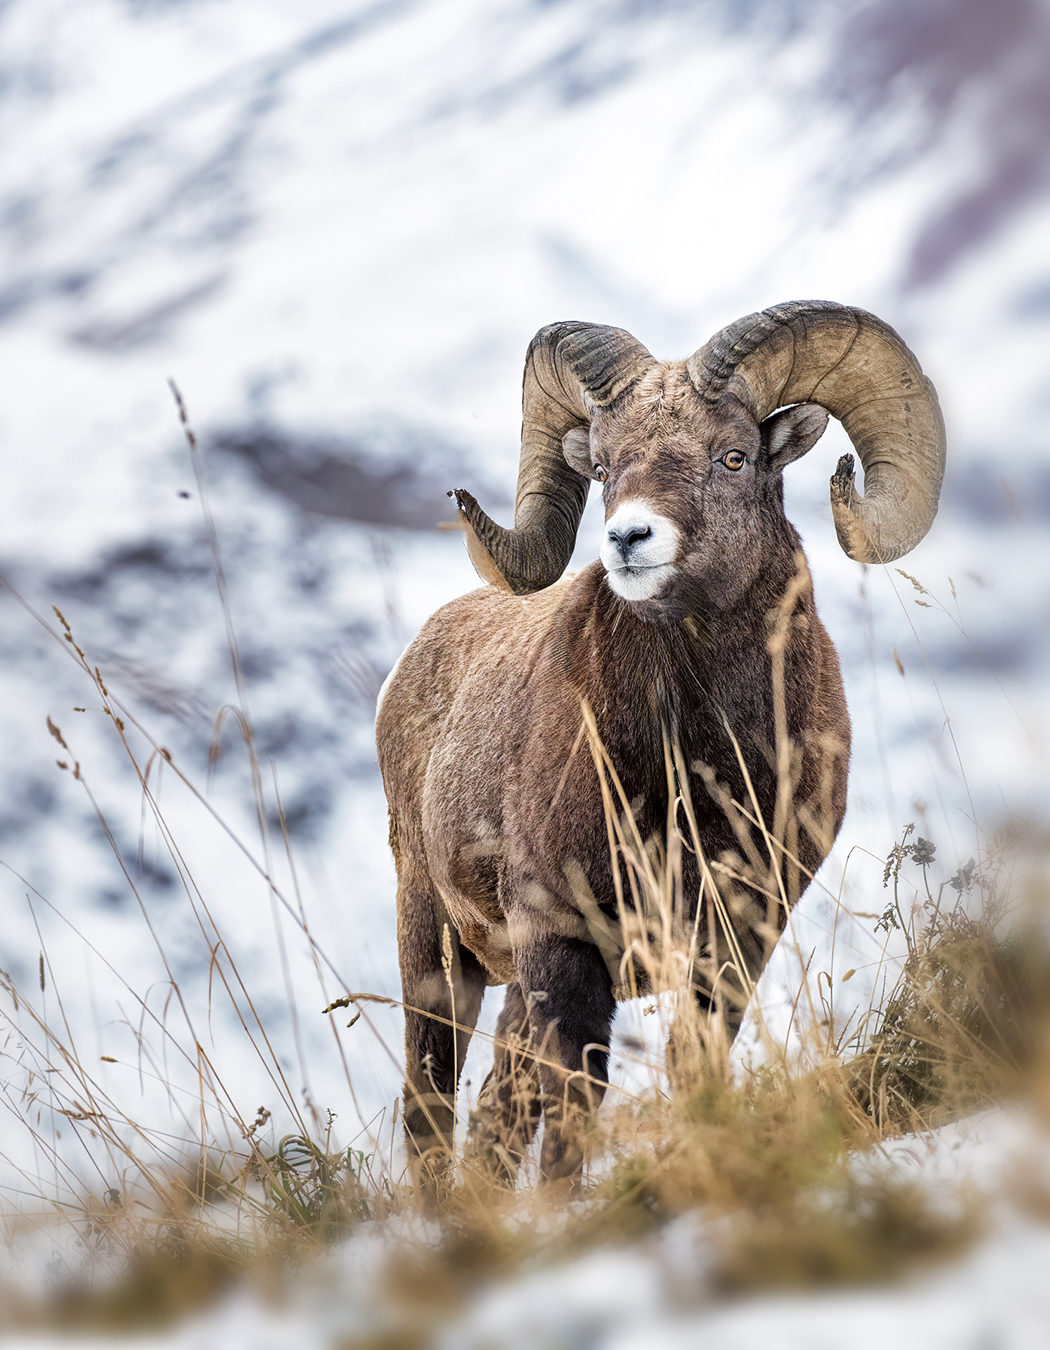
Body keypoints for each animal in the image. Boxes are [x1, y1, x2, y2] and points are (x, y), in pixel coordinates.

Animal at [376, 300, 945, 1193]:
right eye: (606, 466)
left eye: (733, 455)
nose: (628, 539)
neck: (689, 765)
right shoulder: (565, 945)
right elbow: (575, 1101)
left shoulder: (735, 939)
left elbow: (687, 1067)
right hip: (434, 945)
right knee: (433, 1107)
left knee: (498, 1113)